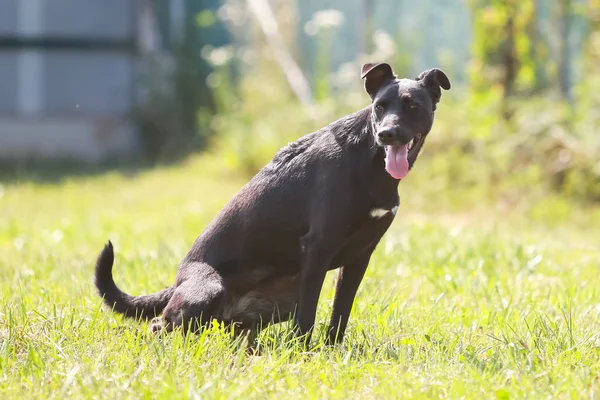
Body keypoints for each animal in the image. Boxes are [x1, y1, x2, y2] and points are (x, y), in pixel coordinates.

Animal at [95, 62, 450, 346]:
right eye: (379, 106)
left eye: (412, 106)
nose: (387, 134)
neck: (370, 158)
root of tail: (176, 284)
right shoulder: (318, 249)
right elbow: (308, 315)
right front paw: (305, 353)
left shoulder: (360, 256)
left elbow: (341, 311)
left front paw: (332, 350)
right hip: (207, 289)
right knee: (160, 325)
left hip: (274, 301)